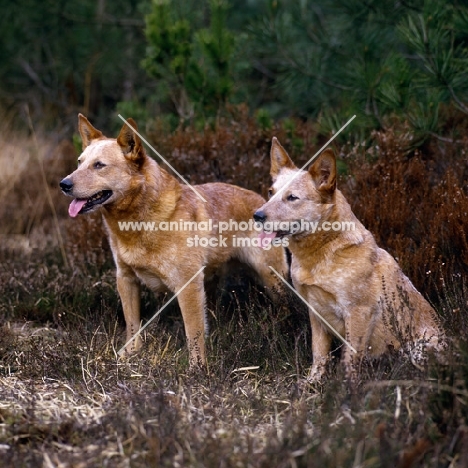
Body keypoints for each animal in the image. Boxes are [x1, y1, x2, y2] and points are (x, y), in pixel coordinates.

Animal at [58, 115, 286, 368]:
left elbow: (193, 332)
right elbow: (132, 325)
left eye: (99, 165)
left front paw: (197, 368)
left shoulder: (188, 285)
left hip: (272, 278)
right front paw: (128, 355)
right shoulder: (125, 278)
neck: (137, 223)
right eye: (79, 162)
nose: (63, 184)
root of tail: (261, 202)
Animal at [254, 139, 444, 380]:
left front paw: (344, 388)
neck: (322, 252)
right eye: (271, 192)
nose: (257, 215)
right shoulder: (315, 312)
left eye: (292, 197)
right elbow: (319, 354)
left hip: (418, 351)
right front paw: (312, 383)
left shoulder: (358, 313)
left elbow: (349, 361)